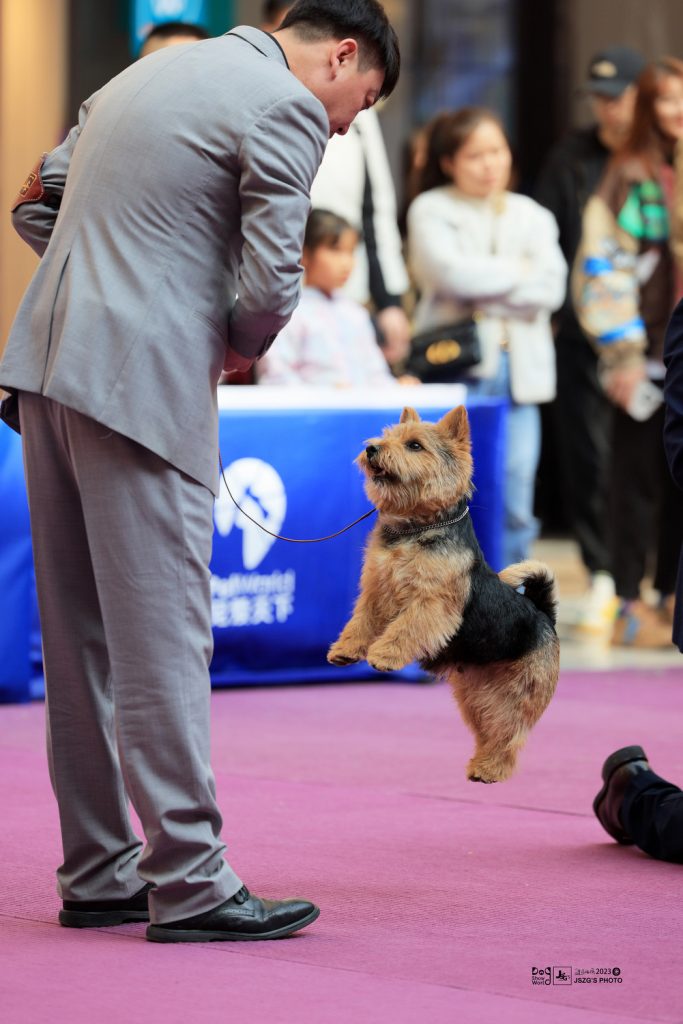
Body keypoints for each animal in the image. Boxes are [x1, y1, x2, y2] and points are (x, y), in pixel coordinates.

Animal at [327, 405, 560, 783]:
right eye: (387, 436)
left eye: (415, 445)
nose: (372, 449)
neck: (415, 528)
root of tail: (545, 616)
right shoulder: (375, 590)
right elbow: (360, 622)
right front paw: (346, 650)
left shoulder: (431, 604)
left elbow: (405, 629)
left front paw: (384, 655)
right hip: (476, 697)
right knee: (488, 732)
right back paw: (479, 764)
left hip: (515, 695)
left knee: (509, 734)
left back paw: (491, 770)